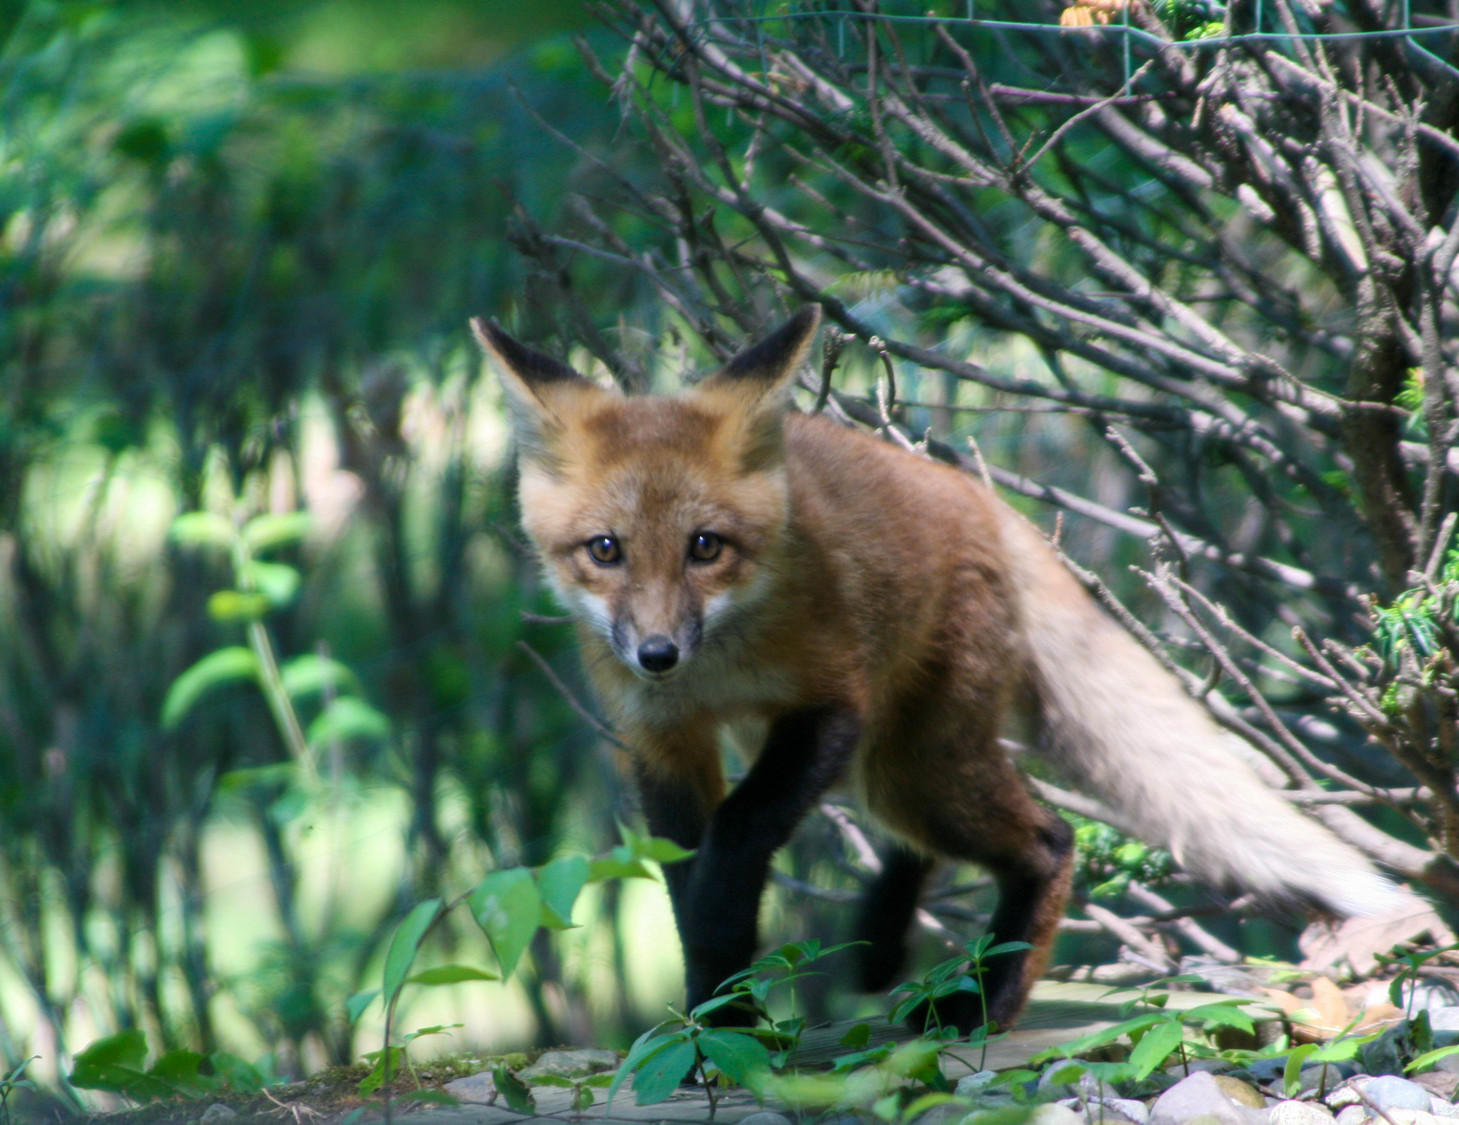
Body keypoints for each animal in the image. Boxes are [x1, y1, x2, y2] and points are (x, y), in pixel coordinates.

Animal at [469, 306, 1400, 1027]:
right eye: (605, 550)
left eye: (706, 547)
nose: (656, 653)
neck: (720, 667)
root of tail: (976, 496)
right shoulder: (663, 740)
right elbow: (683, 866)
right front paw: (714, 1007)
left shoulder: (830, 702)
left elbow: (733, 840)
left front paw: (721, 980)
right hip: (882, 765)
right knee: (919, 846)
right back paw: (884, 941)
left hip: (904, 761)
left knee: (1047, 841)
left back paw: (986, 1001)